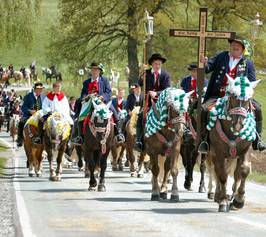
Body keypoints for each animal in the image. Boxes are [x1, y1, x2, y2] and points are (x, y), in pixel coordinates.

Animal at [206, 74, 260, 211]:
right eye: (233, 96)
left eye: (248, 99)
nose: (239, 125)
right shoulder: (219, 152)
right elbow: (222, 175)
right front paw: (223, 201)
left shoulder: (245, 149)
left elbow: (244, 170)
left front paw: (238, 200)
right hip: (214, 154)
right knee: (217, 171)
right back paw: (219, 195)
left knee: (235, 174)